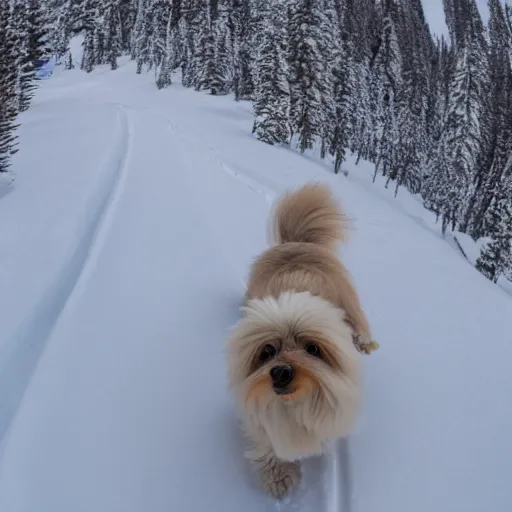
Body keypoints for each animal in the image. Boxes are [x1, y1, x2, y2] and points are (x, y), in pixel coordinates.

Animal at [226, 181, 378, 500]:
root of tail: (297, 241)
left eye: (312, 349)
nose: (280, 372)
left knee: (361, 322)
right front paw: (279, 477)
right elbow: (268, 444)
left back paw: (364, 341)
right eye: (267, 351)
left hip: (351, 301)